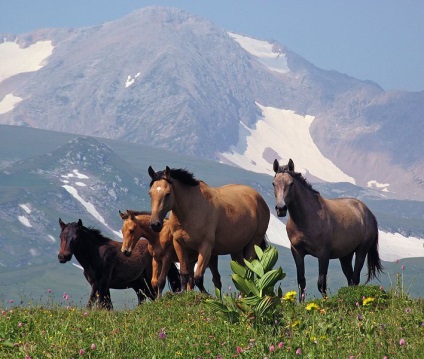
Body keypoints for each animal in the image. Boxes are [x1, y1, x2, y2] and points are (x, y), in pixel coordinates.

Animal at [272, 160, 384, 300]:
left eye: (291, 183)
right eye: (274, 183)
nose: (280, 209)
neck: (307, 218)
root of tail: (368, 213)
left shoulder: (323, 254)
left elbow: (321, 283)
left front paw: (325, 302)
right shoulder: (297, 252)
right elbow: (301, 282)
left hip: (361, 251)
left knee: (355, 278)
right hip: (345, 256)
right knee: (350, 278)